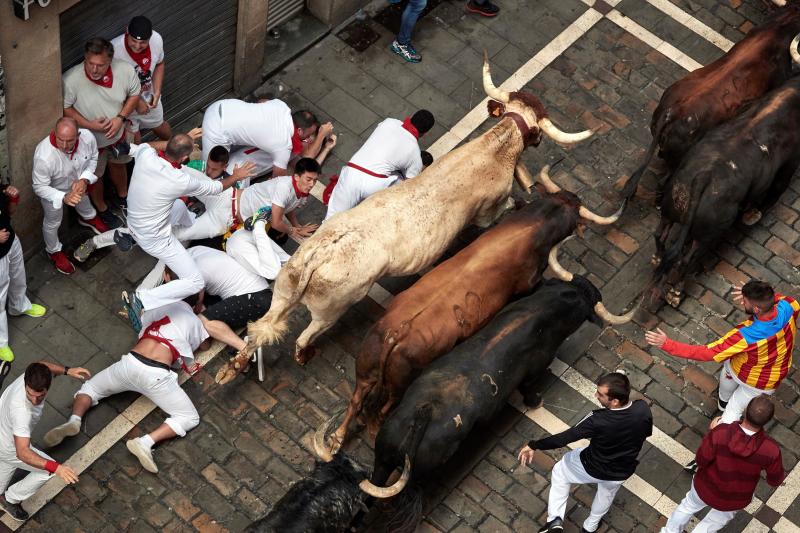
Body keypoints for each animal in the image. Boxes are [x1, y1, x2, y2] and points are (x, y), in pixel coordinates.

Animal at [222, 57, 596, 378]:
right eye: (536, 133)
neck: (494, 148)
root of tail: (319, 253)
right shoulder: (490, 210)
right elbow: (501, 209)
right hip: (331, 308)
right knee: (303, 335)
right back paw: (302, 355)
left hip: (284, 289)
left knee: (262, 327)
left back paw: (235, 366)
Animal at [328, 165, 620, 448]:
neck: (533, 227)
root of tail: (396, 334)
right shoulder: (528, 285)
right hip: (396, 388)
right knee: (379, 414)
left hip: (365, 368)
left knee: (355, 400)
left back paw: (337, 439)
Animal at [648, 74, 800, 308]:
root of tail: (703, 177)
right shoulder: (789, 164)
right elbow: (775, 192)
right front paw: (752, 215)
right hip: (708, 236)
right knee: (687, 260)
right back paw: (676, 293)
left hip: (671, 207)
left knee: (660, 234)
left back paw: (657, 259)